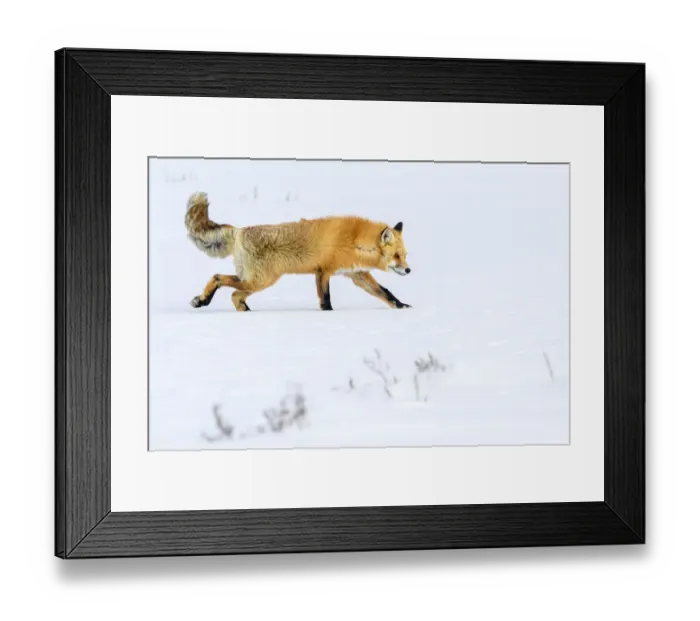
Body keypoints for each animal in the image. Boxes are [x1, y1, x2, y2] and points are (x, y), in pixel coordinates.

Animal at [184, 191, 412, 312]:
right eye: (396, 256)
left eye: (405, 255)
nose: (408, 270)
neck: (355, 241)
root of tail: (240, 230)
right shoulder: (324, 271)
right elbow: (326, 299)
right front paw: (329, 315)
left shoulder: (356, 274)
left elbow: (385, 292)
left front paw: (402, 307)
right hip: (261, 280)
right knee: (220, 280)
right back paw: (203, 301)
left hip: (254, 279)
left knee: (234, 294)